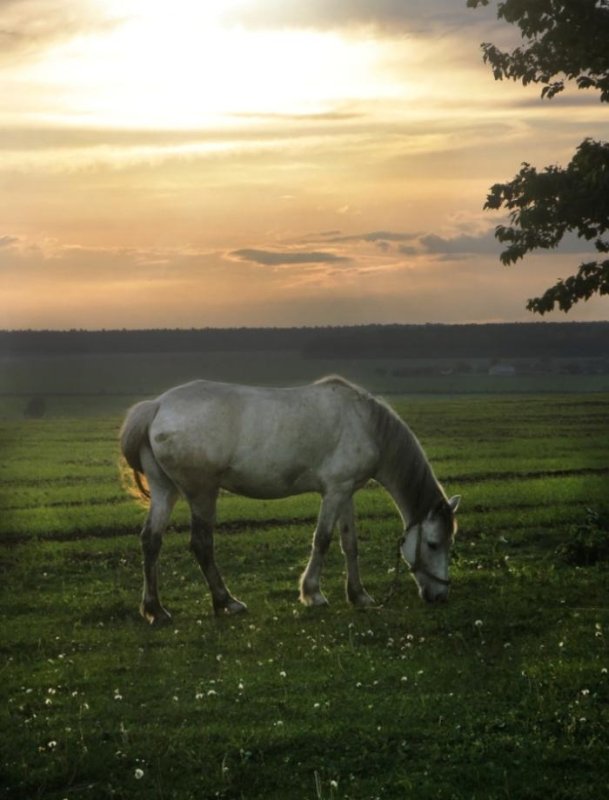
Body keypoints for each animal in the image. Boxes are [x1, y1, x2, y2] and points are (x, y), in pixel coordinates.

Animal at [119, 376, 458, 624]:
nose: (440, 595)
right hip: (202, 493)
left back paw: (155, 610)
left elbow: (349, 543)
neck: (364, 422)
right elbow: (322, 539)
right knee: (201, 544)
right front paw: (313, 593)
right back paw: (227, 601)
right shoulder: (334, 491)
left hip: (165, 491)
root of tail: (157, 406)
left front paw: (358, 595)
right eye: (433, 544)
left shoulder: (346, 492)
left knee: (151, 541)